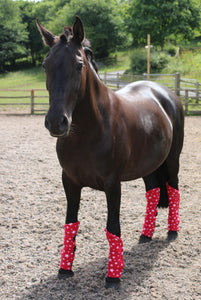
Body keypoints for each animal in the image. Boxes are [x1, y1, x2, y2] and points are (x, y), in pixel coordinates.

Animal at [36, 16, 184, 288]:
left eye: (79, 65)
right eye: (45, 65)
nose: (56, 122)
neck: (88, 131)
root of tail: (165, 93)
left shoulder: (113, 184)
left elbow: (112, 226)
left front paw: (113, 275)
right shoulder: (69, 182)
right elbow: (70, 223)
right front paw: (64, 269)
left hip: (172, 160)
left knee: (173, 190)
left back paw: (172, 232)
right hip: (148, 165)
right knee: (153, 192)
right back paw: (145, 235)